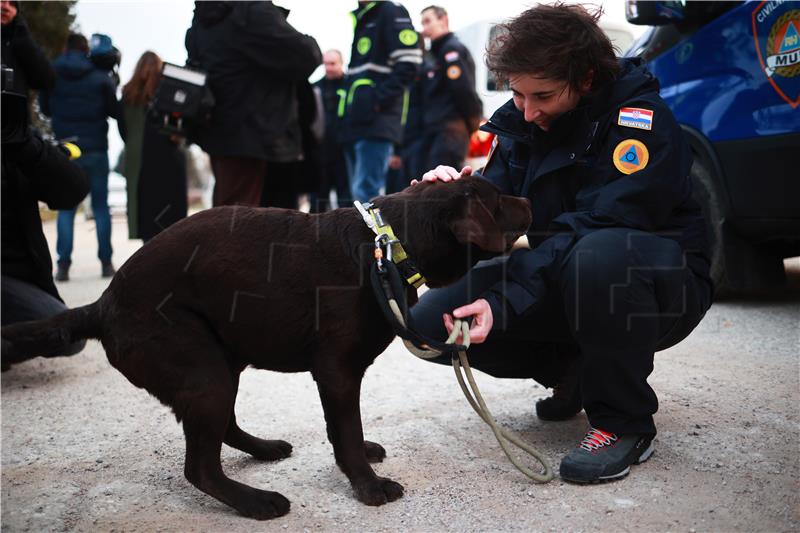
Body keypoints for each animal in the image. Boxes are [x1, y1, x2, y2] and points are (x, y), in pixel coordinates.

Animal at [3, 177, 536, 516]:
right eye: (498, 199)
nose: (530, 201)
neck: (386, 246)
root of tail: (102, 304)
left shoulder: (341, 376)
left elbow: (345, 427)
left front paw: (364, 455)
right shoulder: (336, 371)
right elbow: (345, 431)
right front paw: (367, 485)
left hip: (221, 362)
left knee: (223, 430)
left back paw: (263, 451)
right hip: (202, 367)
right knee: (200, 468)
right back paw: (256, 503)